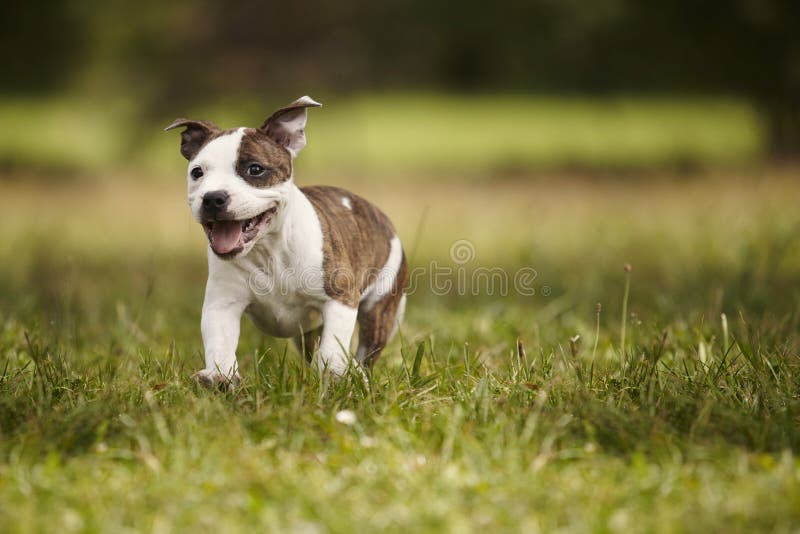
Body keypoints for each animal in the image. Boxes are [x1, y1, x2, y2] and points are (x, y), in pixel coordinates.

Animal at [166, 98, 410, 388]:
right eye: (197, 172)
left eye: (255, 169)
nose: (213, 198)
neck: (269, 250)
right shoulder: (222, 304)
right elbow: (220, 343)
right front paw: (219, 376)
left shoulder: (340, 298)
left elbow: (333, 348)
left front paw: (333, 376)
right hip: (308, 332)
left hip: (380, 307)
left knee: (365, 350)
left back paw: (357, 375)